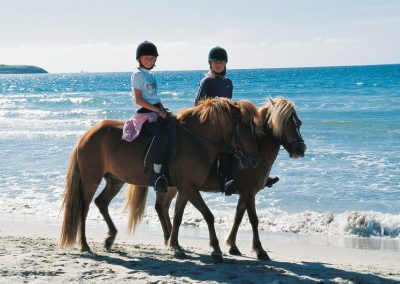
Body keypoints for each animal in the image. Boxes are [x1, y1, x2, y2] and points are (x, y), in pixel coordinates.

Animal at [58, 98, 260, 255]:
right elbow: (208, 215)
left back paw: (110, 238)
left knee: (101, 202)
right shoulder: (189, 188)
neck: (196, 141)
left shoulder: (186, 189)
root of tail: (86, 135)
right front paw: (215, 248)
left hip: (115, 180)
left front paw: (175, 245)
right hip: (91, 179)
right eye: (245, 128)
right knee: (84, 207)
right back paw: (85, 244)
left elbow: (178, 216)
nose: (254, 160)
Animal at [125, 97, 306, 262]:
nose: (300, 149)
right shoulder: (248, 192)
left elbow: (238, 217)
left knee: (162, 207)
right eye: (284, 123)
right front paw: (259, 250)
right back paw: (170, 240)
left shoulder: (245, 193)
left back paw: (170, 239)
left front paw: (232, 245)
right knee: (161, 207)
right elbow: (253, 219)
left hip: (173, 187)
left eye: (298, 123)